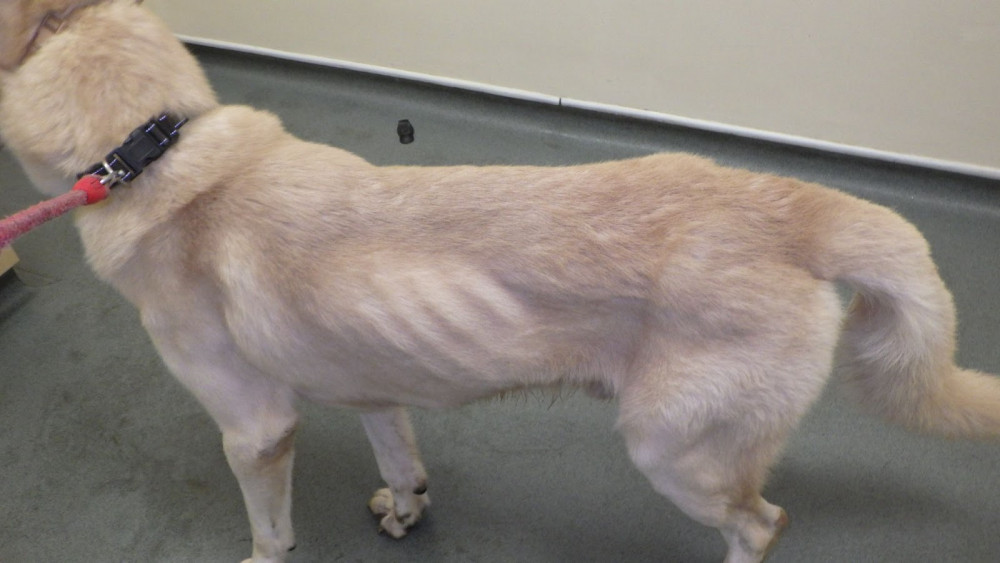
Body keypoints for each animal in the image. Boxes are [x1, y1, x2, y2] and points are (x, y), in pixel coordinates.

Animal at [1, 1, 1000, 563]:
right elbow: (401, 458)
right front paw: (406, 508)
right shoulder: (374, 379)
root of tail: (794, 207)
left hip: (672, 449)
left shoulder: (256, 431)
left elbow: (269, 534)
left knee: (762, 525)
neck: (155, 149)